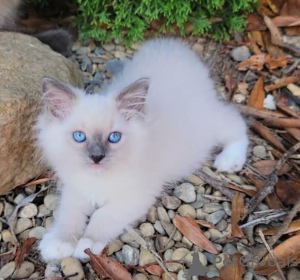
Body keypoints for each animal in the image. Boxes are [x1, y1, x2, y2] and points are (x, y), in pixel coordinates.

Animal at [36, 38, 248, 262]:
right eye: (79, 136)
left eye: (114, 137)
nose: (96, 157)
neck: (98, 180)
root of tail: (173, 47)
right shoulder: (76, 191)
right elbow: (69, 216)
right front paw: (58, 244)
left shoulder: (134, 196)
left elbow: (101, 217)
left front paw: (86, 246)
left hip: (209, 126)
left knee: (237, 122)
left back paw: (229, 161)